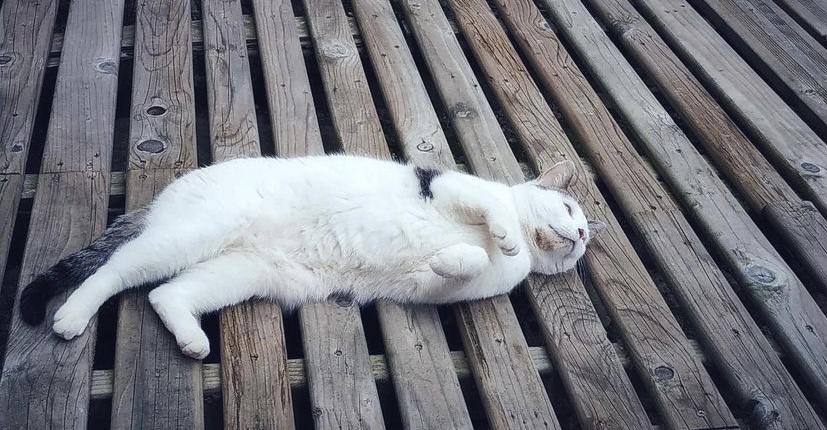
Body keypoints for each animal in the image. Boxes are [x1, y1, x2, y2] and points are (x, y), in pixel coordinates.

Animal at [19, 155, 605, 359]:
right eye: (569, 207)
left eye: (583, 239)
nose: (580, 233)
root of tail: (164, 198)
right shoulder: (443, 185)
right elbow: (491, 209)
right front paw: (501, 234)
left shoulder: (432, 287)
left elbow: (458, 266)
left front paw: (455, 257)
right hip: (189, 236)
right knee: (114, 270)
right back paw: (71, 316)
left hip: (240, 272)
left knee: (167, 294)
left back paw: (191, 339)